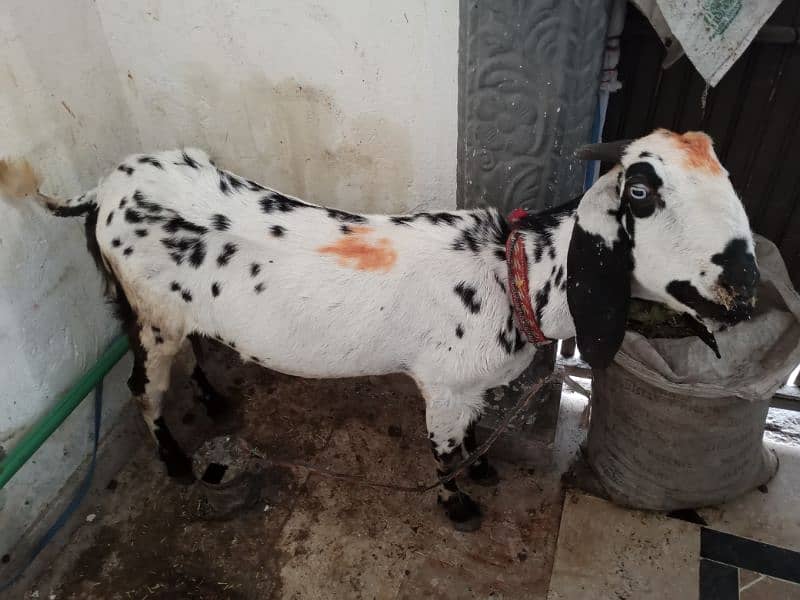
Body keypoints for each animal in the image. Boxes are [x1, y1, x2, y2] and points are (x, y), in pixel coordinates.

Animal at [0, 130, 760, 528]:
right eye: (642, 193)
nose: (745, 286)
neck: (516, 275)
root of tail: (104, 191)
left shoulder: (470, 386)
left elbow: (474, 436)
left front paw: (485, 470)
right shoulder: (444, 387)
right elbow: (444, 451)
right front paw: (459, 505)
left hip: (173, 312)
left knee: (188, 357)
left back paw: (214, 399)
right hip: (149, 313)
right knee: (141, 386)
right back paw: (176, 460)